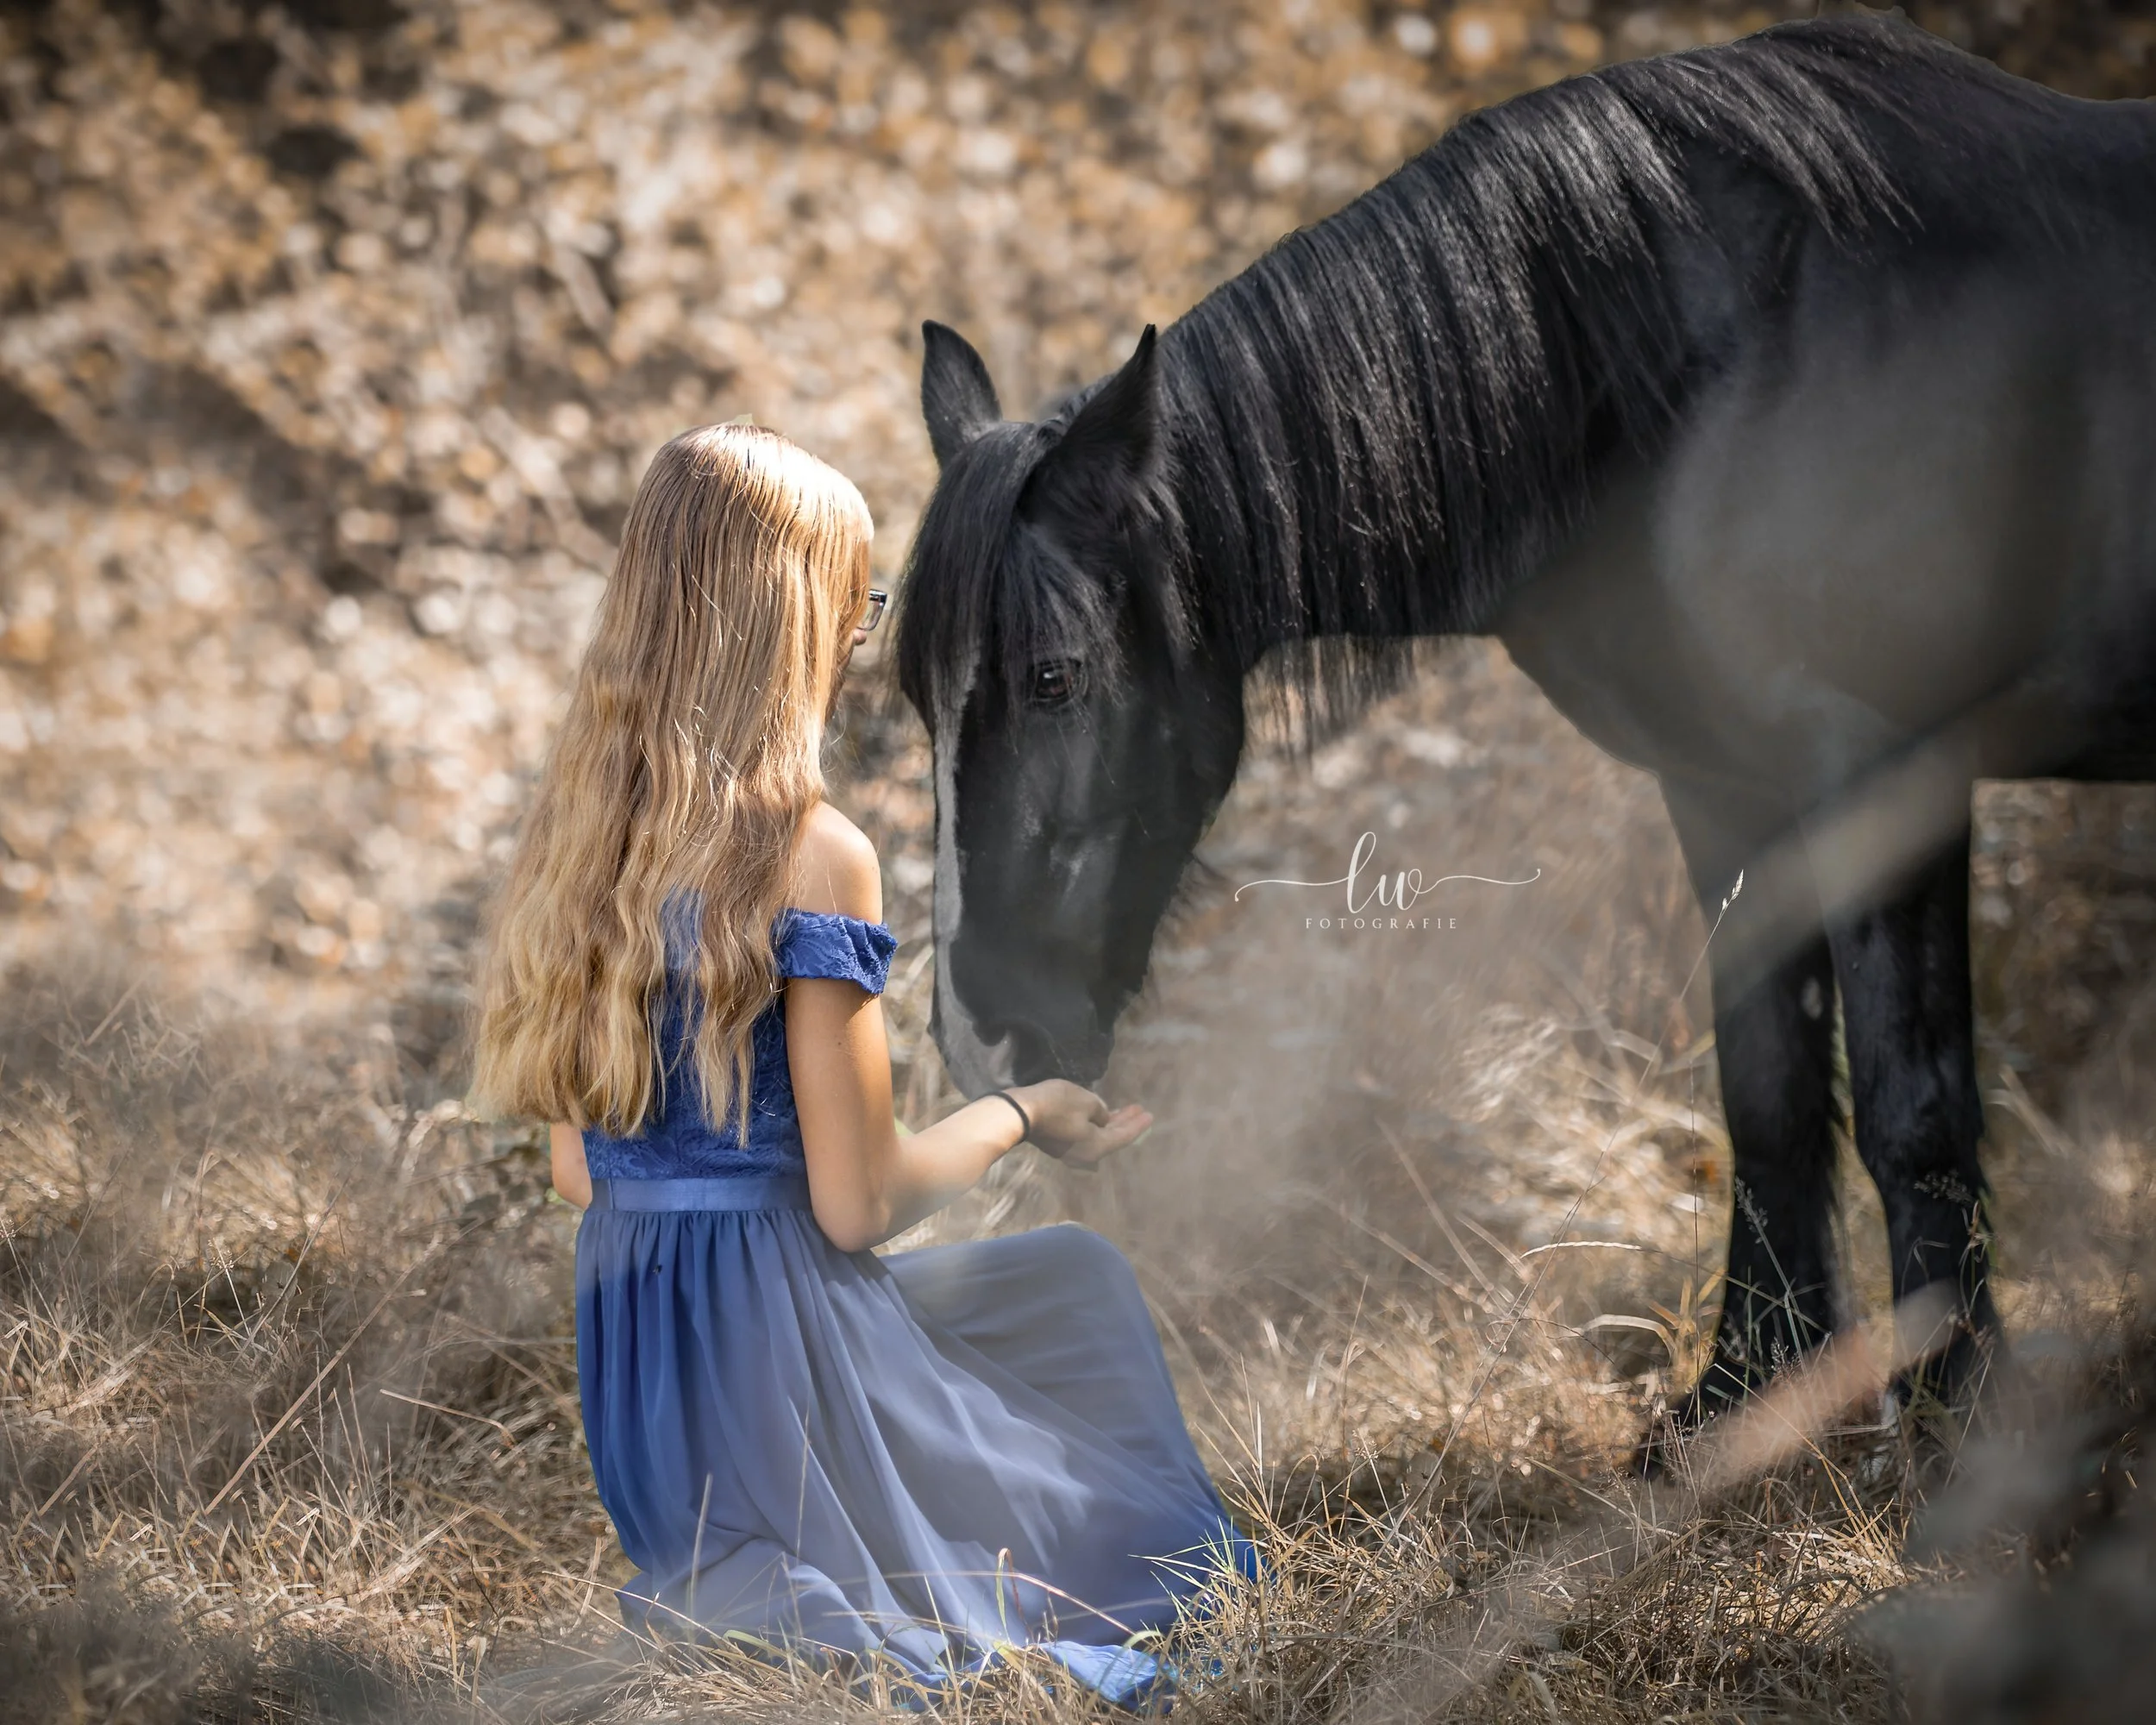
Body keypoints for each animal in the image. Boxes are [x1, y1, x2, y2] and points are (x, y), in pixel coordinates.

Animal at [893, 14, 2156, 1438]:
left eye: (1054, 677)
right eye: (915, 695)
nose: (981, 1037)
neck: (1724, 358)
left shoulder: (1891, 768)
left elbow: (1915, 1104)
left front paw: (1947, 1415)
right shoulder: (1723, 785)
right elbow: (1769, 1094)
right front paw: (1744, 1395)